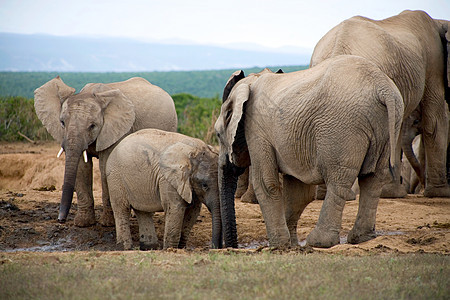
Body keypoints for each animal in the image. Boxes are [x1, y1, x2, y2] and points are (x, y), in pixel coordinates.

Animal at [34, 76, 178, 226]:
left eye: (93, 126)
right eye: (62, 122)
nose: (60, 219)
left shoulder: (114, 130)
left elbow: (104, 168)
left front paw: (108, 223)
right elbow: (81, 168)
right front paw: (83, 223)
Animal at [215, 56, 404, 248]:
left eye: (217, 135)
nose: (229, 246)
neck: (250, 82)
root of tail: (382, 87)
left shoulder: (256, 130)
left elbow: (266, 184)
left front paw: (278, 245)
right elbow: (297, 192)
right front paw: (291, 245)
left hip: (343, 128)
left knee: (339, 181)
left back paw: (319, 242)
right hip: (390, 123)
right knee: (373, 179)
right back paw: (361, 238)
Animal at [310, 9, 450, 198]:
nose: (419, 189)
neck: (439, 22)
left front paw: (392, 193)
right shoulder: (434, 59)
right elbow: (434, 120)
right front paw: (440, 193)